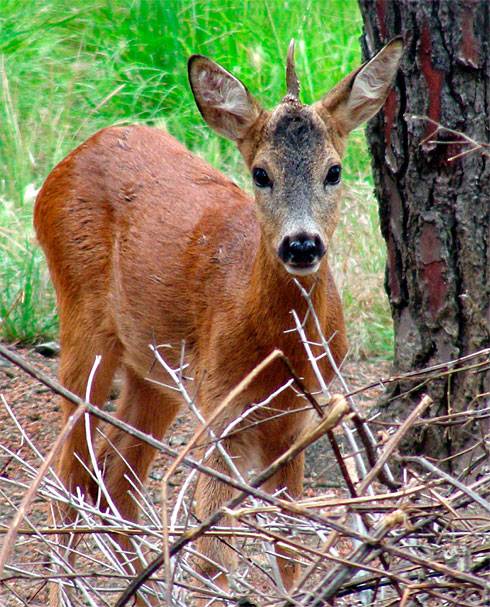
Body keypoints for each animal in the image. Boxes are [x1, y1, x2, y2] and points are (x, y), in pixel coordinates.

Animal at [33, 39, 402, 607]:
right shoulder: (220, 409)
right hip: (83, 326)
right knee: (69, 476)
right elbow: (213, 553)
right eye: (261, 173)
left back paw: (142, 591)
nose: (301, 244)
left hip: (156, 371)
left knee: (116, 478)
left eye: (335, 171)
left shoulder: (301, 417)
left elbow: (289, 544)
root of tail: (69, 159)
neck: (280, 351)